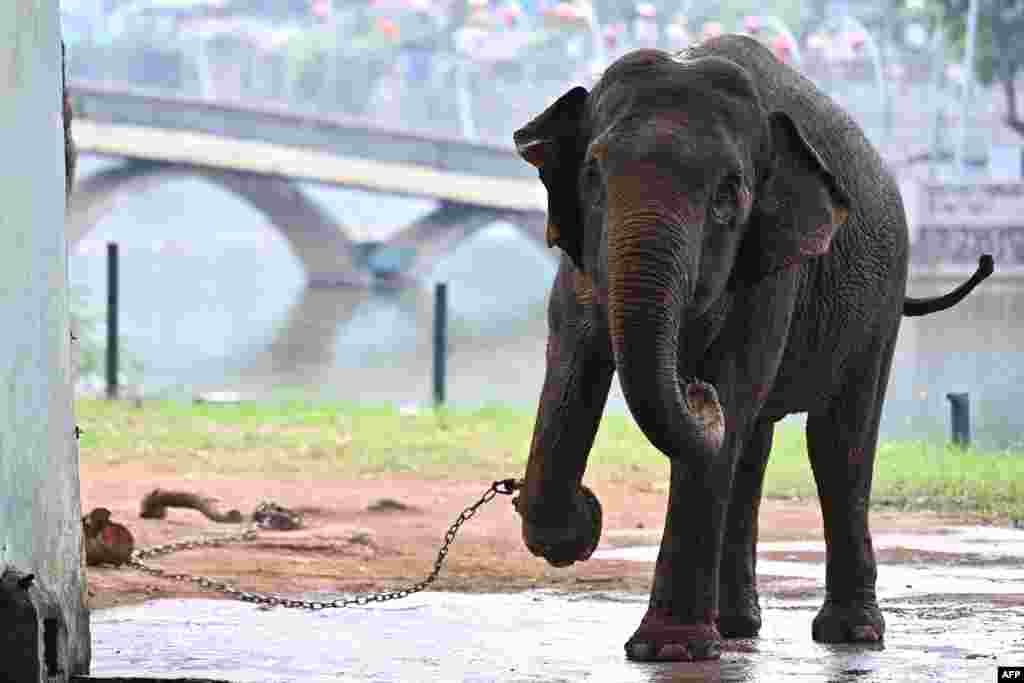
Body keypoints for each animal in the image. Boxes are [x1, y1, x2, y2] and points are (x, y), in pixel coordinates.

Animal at [512, 34, 991, 663]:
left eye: (729, 196)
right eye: (592, 176)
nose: (695, 389)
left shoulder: (774, 270)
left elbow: (731, 398)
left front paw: (668, 651)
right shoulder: (579, 259)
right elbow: (570, 362)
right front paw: (575, 527)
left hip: (883, 298)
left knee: (836, 443)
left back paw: (850, 634)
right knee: (753, 447)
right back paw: (738, 625)